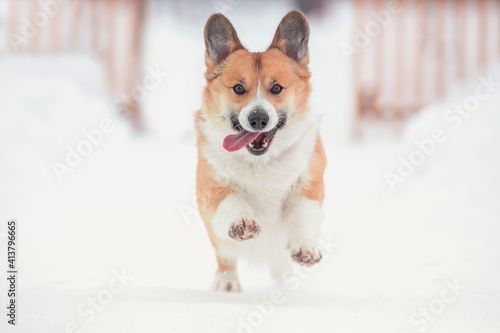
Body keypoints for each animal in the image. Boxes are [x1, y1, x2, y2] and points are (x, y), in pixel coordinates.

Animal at [193, 11, 326, 290]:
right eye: (238, 88)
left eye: (276, 88)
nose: (258, 119)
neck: (261, 162)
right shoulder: (212, 188)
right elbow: (232, 201)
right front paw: (242, 222)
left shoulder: (310, 184)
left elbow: (302, 214)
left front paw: (306, 248)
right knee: (225, 258)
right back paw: (227, 284)